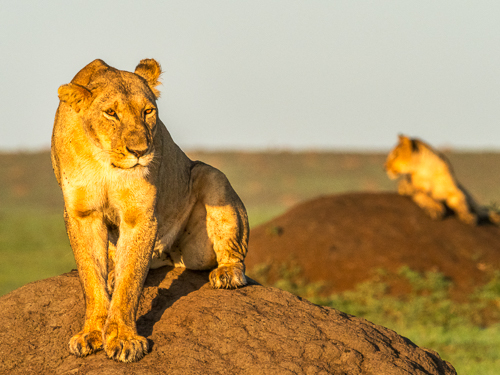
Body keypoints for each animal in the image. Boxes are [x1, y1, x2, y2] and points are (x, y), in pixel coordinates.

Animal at [51, 59, 250, 364]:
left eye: (148, 111)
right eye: (111, 113)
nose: (140, 151)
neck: (105, 161)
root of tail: (168, 255)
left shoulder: (139, 215)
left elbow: (130, 280)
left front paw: (123, 339)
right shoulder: (82, 214)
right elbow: (92, 278)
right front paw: (91, 333)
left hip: (209, 176)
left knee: (232, 250)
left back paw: (227, 273)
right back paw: (112, 273)